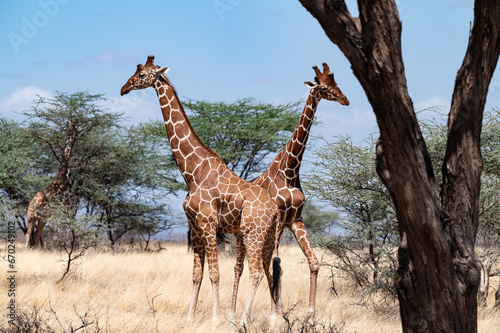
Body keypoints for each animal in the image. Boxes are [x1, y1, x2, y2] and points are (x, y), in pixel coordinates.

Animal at [25, 119, 77, 249]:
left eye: (75, 123)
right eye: (70, 124)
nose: (74, 128)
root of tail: (30, 203)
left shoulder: (63, 211)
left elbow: (62, 232)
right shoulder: (56, 212)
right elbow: (56, 235)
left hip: (42, 218)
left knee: (36, 235)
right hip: (31, 216)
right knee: (28, 234)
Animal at [119, 55, 280, 322]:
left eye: (142, 75)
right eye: (136, 70)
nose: (123, 88)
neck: (192, 172)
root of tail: (275, 209)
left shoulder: (208, 224)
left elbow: (215, 273)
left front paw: (214, 319)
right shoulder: (194, 228)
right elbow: (196, 275)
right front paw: (190, 318)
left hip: (252, 234)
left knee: (256, 272)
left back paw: (243, 320)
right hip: (266, 237)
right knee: (269, 272)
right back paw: (273, 319)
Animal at [227, 61, 348, 316]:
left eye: (336, 82)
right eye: (323, 87)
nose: (345, 100)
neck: (290, 169)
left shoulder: (296, 219)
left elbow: (313, 262)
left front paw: (310, 313)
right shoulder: (280, 219)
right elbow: (275, 266)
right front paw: (276, 313)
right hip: (243, 236)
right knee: (238, 267)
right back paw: (231, 312)